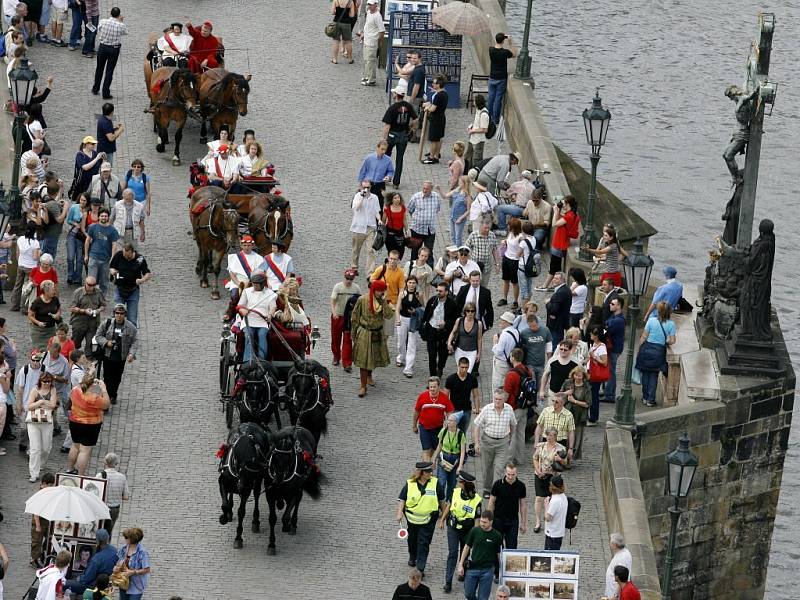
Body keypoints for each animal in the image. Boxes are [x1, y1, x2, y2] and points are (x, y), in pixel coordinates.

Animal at [266, 424, 322, 556]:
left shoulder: (294, 490)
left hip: (299, 486)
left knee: (297, 500)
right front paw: (271, 544)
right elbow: (272, 519)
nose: (278, 478)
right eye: (274, 455)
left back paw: (293, 524)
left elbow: (286, 515)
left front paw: (287, 525)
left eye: (289, 456)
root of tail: (300, 427)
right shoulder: (270, 493)